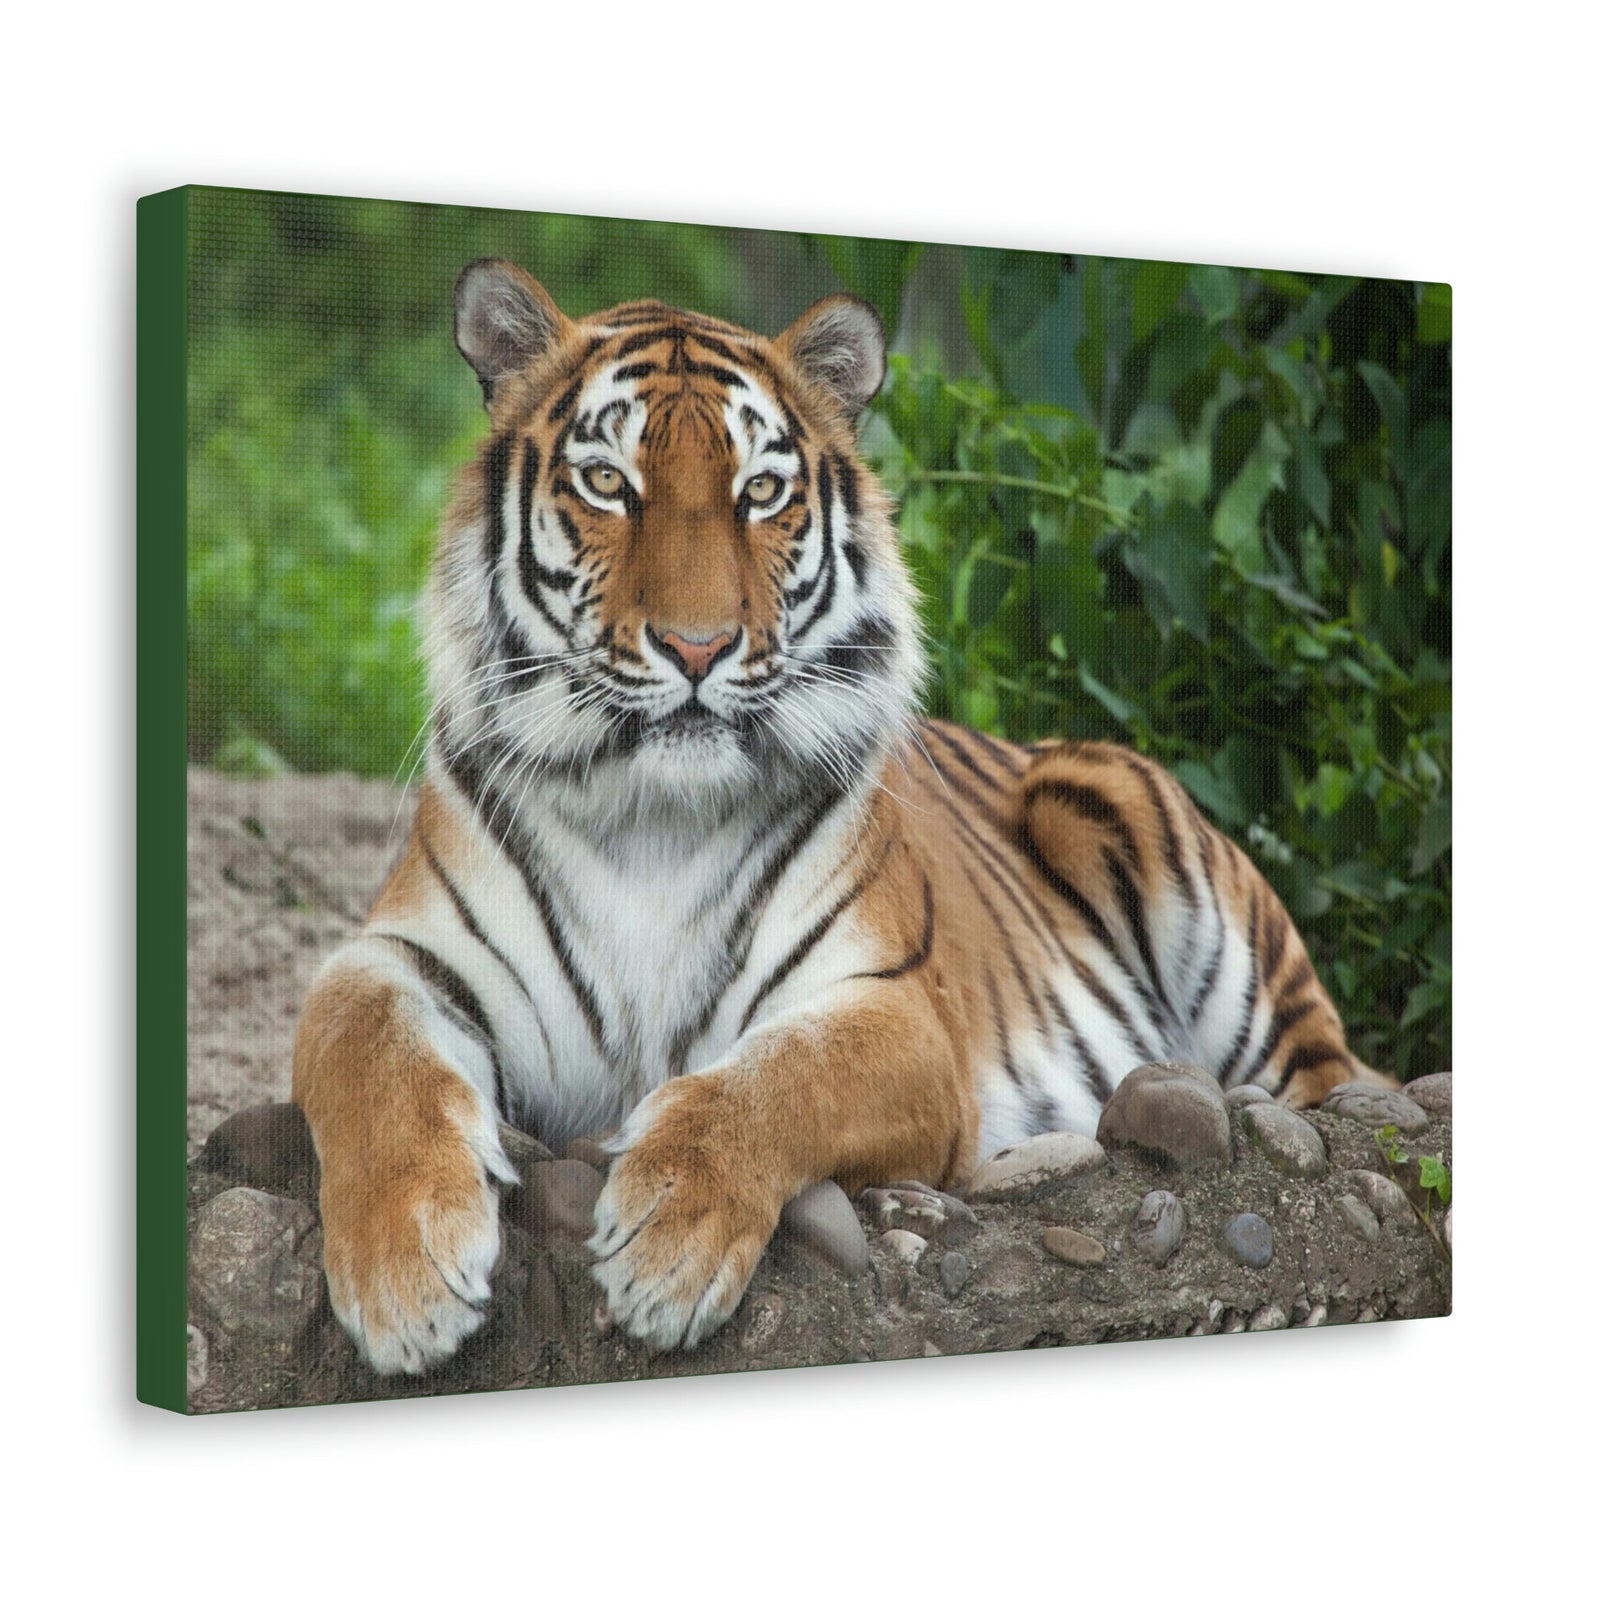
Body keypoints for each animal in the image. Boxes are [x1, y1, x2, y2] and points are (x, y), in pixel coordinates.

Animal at [291, 258, 1389, 1375]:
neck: (651, 816)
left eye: (759, 492)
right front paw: (405, 1275)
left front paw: (668, 1243)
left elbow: (775, 1080)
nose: (698, 647)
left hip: (1143, 842)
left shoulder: (895, 1012)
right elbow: (365, 1053)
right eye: (608, 483)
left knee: (1337, 1080)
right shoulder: (399, 956)